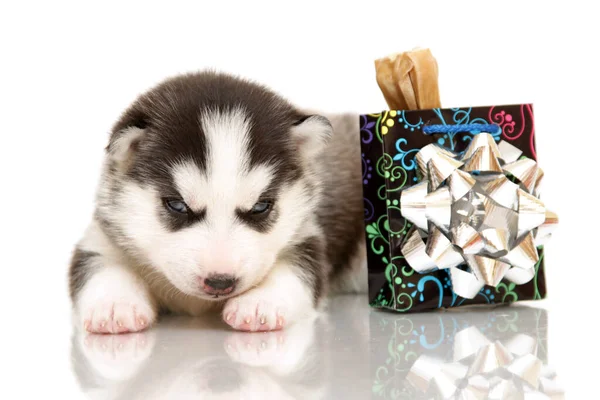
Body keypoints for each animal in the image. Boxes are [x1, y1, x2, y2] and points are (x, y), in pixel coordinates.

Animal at [67, 70, 366, 332]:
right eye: (178, 205)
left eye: (260, 207)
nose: (220, 282)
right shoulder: (102, 236)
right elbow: (100, 266)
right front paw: (114, 304)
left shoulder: (304, 235)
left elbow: (298, 270)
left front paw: (262, 302)